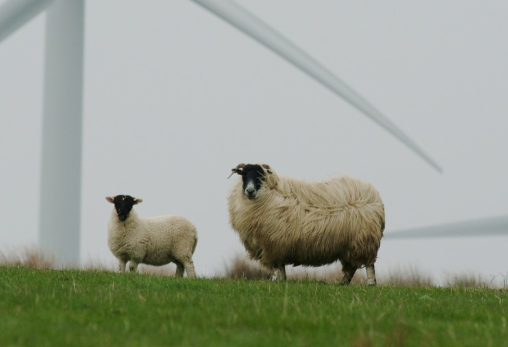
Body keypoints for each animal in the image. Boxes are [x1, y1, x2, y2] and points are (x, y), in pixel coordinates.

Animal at [227, 164, 384, 286]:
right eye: (243, 174)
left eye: (260, 176)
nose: (250, 190)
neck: (269, 195)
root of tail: (375, 196)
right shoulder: (277, 245)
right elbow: (280, 267)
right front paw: (281, 281)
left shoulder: (273, 244)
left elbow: (277, 266)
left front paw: (275, 280)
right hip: (349, 245)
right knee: (351, 268)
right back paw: (342, 284)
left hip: (364, 241)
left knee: (369, 265)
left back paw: (370, 284)